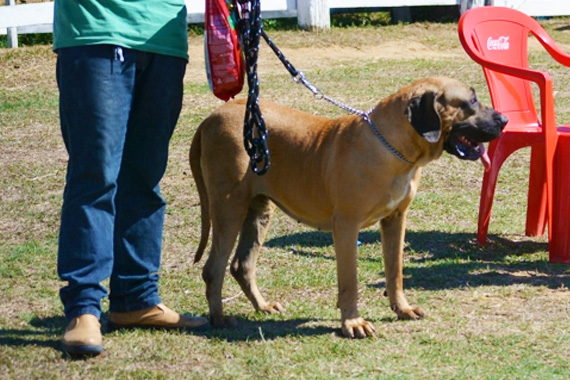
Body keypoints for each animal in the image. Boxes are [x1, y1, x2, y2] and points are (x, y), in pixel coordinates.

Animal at [191, 77, 506, 338]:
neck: (392, 148)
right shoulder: (346, 227)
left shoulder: (395, 219)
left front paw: (402, 308)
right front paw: (353, 323)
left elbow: (395, 271)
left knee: (241, 265)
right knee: (213, 268)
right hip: (229, 208)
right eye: (471, 101)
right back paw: (219, 319)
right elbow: (349, 280)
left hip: (258, 210)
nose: (504, 119)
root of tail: (210, 119)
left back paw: (263, 306)